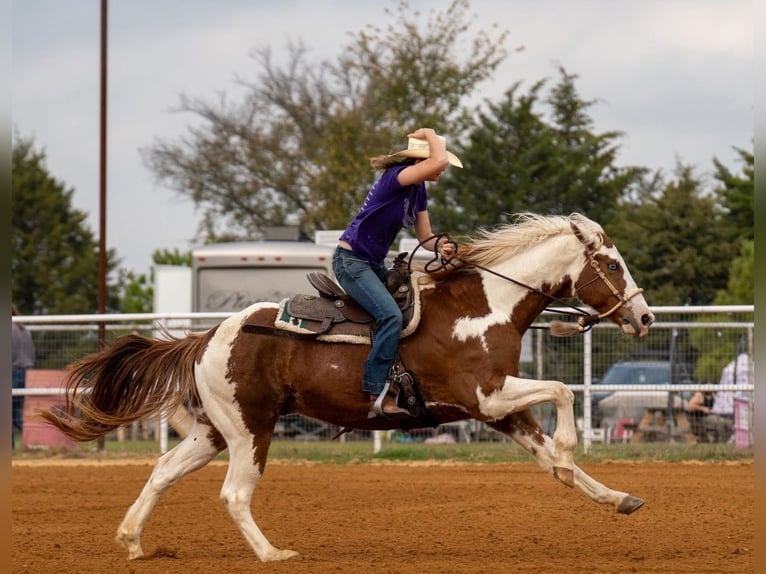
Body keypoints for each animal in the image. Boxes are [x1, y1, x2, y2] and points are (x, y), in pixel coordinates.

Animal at [41, 212, 655, 563]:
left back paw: (132, 541)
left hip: (217, 429)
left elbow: (555, 457)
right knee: (234, 493)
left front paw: (615, 496)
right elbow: (563, 393)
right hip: (250, 430)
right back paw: (274, 554)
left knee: (164, 470)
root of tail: (212, 333)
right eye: (612, 264)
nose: (645, 317)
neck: (487, 307)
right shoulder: (488, 394)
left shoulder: (499, 411)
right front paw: (572, 453)